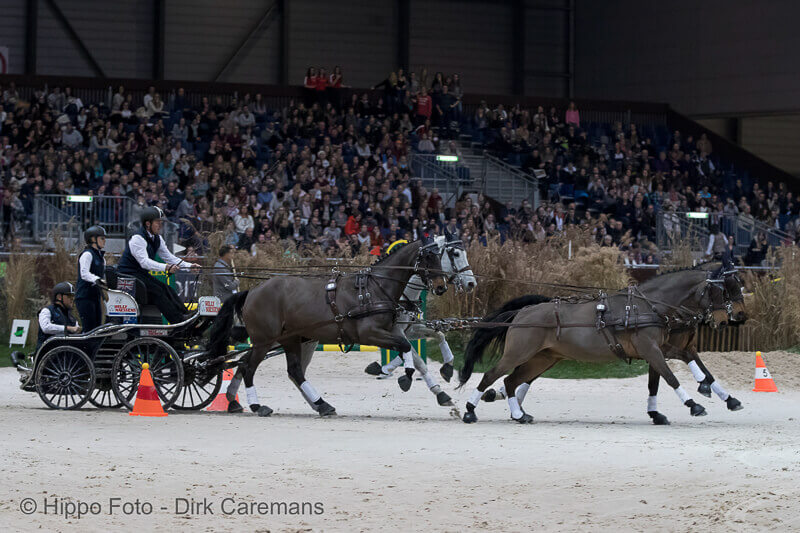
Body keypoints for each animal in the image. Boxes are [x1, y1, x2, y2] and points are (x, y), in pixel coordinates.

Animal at [206, 237, 446, 416]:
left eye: (440, 256)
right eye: (428, 257)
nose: (442, 287)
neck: (374, 289)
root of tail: (252, 291)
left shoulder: (393, 330)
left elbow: (406, 346)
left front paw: (405, 373)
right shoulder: (369, 334)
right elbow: (405, 347)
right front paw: (405, 376)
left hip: (288, 339)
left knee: (292, 371)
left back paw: (321, 404)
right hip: (264, 341)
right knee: (248, 367)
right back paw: (257, 406)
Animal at [460, 266, 748, 424]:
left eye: (739, 287)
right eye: (722, 290)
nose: (728, 319)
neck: (650, 306)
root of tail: (523, 312)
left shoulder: (659, 349)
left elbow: (670, 374)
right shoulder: (651, 349)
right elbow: (671, 378)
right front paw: (694, 404)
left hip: (543, 358)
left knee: (512, 381)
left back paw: (519, 414)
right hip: (518, 353)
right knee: (491, 375)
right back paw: (471, 411)